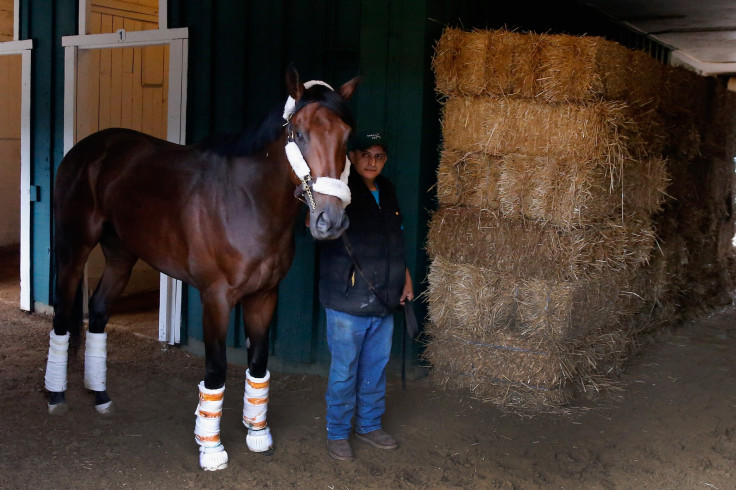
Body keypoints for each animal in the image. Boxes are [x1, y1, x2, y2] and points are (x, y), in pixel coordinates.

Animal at [43, 66, 360, 470]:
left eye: (346, 136)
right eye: (300, 133)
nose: (330, 221)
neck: (246, 200)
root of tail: (85, 151)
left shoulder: (264, 296)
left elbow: (258, 364)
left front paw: (257, 434)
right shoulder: (216, 298)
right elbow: (216, 369)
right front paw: (211, 449)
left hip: (121, 256)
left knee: (98, 313)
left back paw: (100, 396)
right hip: (73, 249)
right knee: (63, 316)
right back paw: (56, 396)